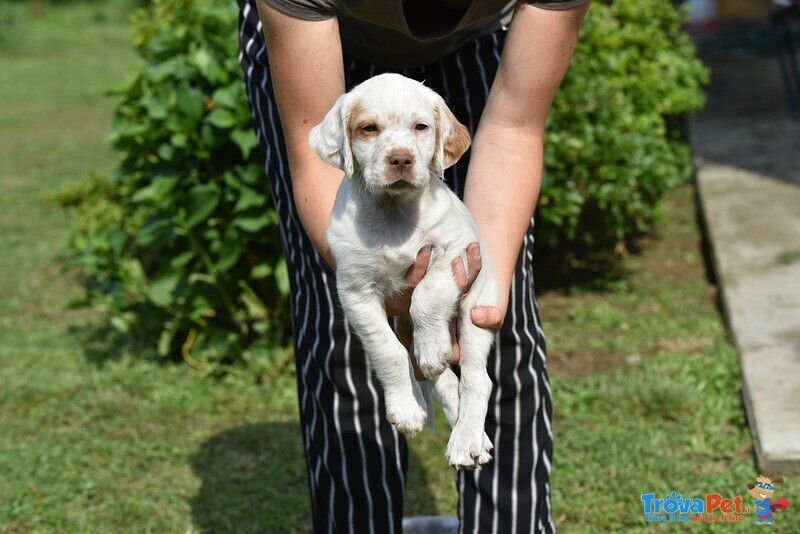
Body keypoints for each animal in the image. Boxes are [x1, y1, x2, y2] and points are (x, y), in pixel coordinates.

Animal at [310, 72, 496, 468]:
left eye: (421, 127)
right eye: (369, 129)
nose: (400, 159)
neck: (394, 213)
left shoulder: (455, 251)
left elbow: (428, 295)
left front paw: (432, 348)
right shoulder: (356, 293)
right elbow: (387, 351)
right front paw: (407, 409)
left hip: (477, 309)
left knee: (476, 378)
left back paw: (467, 439)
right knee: (438, 376)